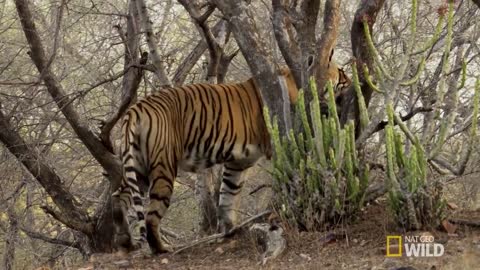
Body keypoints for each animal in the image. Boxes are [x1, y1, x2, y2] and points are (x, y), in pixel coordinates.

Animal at [111, 64, 352, 254]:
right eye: (341, 74)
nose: (350, 81)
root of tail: (135, 109)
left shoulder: (238, 162)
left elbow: (228, 195)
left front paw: (230, 230)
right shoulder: (277, 144)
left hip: (138, 167)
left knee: (120, 196)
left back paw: (124, 239)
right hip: (163, 167)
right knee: (151, 215)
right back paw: (161, 248)